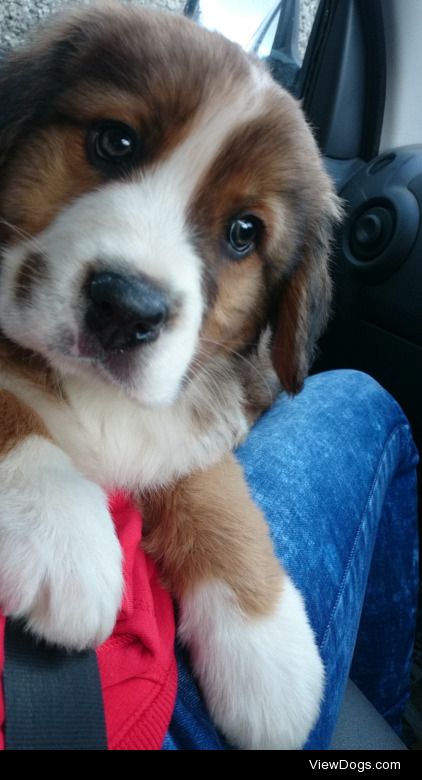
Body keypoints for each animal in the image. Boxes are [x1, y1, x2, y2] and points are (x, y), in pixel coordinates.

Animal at [0, 3, 340, 752]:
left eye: (245, 232)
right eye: (114, 142)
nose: (127, 310)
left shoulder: (204, 406)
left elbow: (210, 483)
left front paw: (268, 646)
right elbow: (12, 401)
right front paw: (56, 527)